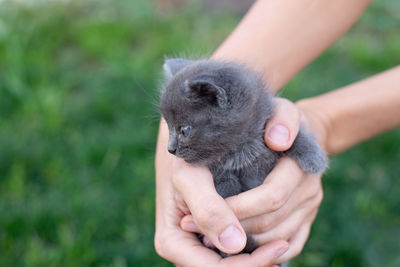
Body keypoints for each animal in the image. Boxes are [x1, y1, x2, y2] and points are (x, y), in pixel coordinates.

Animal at [158, 59, 326, 258]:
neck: (242, 151)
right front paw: (226, 189)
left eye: (185, 129)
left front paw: (314, 156)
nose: (170, 149)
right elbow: (226, 180)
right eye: (168, 126)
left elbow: (291, 138)